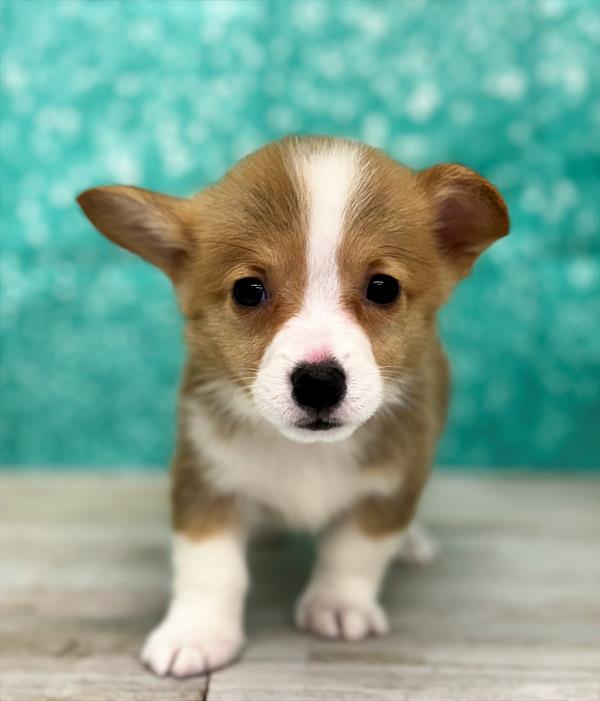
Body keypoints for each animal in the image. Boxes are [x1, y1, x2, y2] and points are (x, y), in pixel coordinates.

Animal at [77, 134, 508, 676]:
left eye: (383, 287)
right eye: (248, 290)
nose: (319, 383)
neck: (306, 453)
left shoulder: (392, 486)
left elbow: (355, 551)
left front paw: (337, 605)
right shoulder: (204, 479)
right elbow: (208, 567)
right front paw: (197, 633)